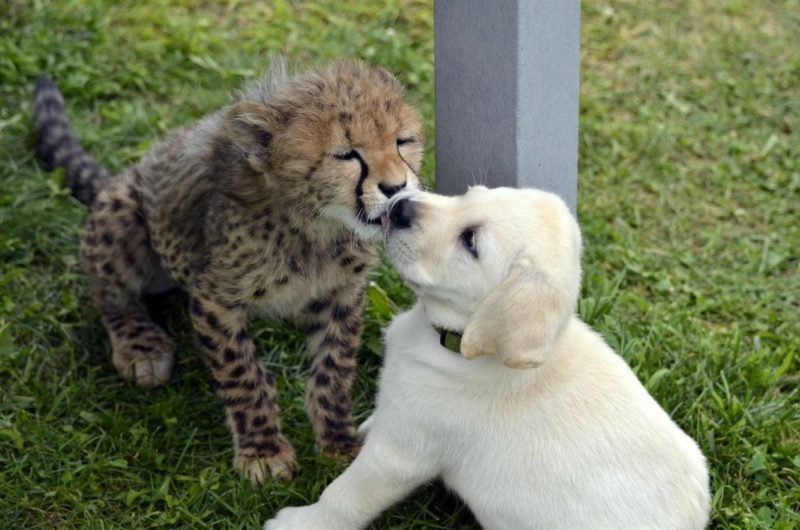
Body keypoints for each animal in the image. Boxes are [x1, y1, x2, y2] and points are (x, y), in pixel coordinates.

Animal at [266, 187, 708, 528]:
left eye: (470, 243)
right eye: (469, 194)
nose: (401, 206)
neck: (457, 343)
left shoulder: (401, 454)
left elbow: (345, 494)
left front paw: (301, 522)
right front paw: (367, 424)